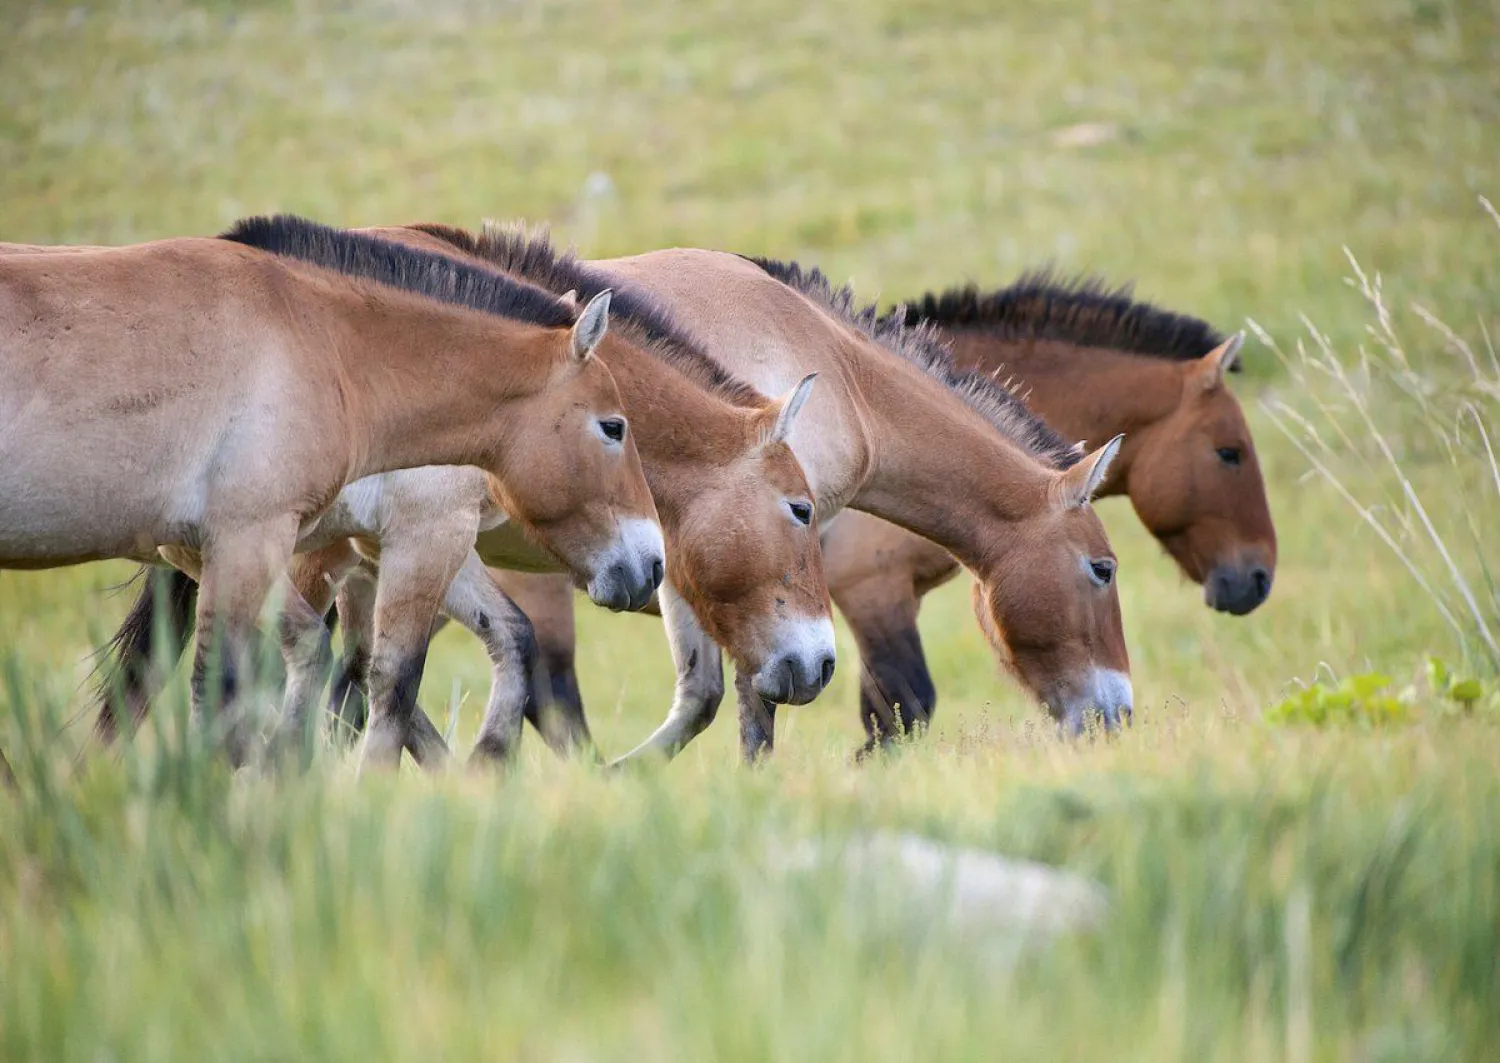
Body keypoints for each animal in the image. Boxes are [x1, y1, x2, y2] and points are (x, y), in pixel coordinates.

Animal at [1, 215, 657, 761]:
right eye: (614, 427)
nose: (651, 563)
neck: (315, 340)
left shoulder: (229, 549)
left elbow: (321, 661)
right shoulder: (260, 539)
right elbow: (259, 692)